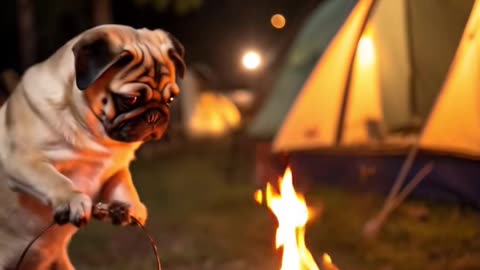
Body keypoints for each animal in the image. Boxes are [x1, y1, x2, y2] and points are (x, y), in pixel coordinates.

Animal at [0, 24, 185, 268]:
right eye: (131, 99)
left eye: (170, 100)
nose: (155, 115)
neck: (93, 136)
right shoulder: (23, 161)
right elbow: (53, 178)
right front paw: (72, 199)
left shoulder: (116, 169)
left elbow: (124, 185)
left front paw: (133, 207)